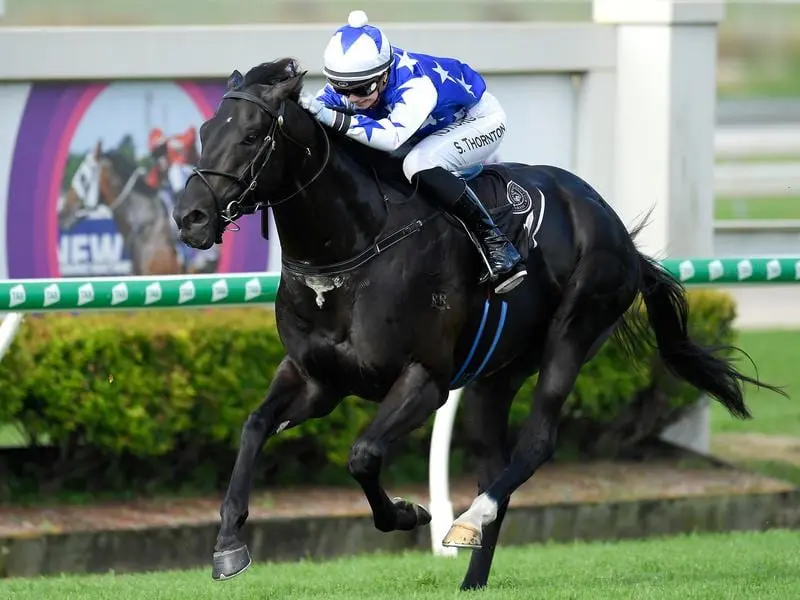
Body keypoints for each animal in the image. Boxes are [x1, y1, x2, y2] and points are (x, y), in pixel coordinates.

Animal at [173, 58, 780, 592]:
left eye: (252, 135)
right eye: (204, 131)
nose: (191, 217)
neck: (353, 246)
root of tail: (620, 233)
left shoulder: (425, 379)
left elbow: (363, 455)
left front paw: (409, 514)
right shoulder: (316, 378)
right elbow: (253, 426)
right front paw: (228, 545)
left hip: (575, 330)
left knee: (537, 444)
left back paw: (468, 519)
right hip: (497, 376)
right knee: (497, 465)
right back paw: (472, 575)